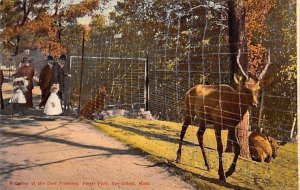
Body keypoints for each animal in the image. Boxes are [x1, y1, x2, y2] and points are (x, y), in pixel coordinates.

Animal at [176, 49, 274, 182]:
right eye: (245, 88)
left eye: (258, 89)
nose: (254, 104)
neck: (232, 108)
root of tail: (189, 90)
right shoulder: (217, 123)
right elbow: (220, 147)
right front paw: (222, 174)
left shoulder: (232, 126)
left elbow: (238, 148)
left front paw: (228, 172)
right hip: (189, 111)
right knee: (183, 129)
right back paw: (178, 157)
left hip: (204, 120)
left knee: (199, 134)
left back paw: (208, 165)